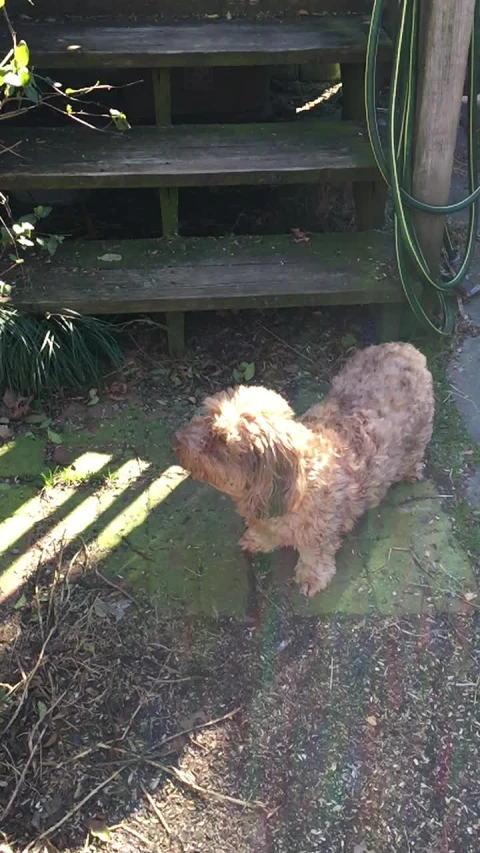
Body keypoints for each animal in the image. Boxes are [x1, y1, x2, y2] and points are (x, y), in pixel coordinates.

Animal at [173, 342, 436, 596]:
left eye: (219, 439)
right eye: (207, 417)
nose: (175, 439)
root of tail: (406, 348)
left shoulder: (320, 533)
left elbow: (314, 556)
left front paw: (311, 578)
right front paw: (258, 539)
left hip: (420, 431)